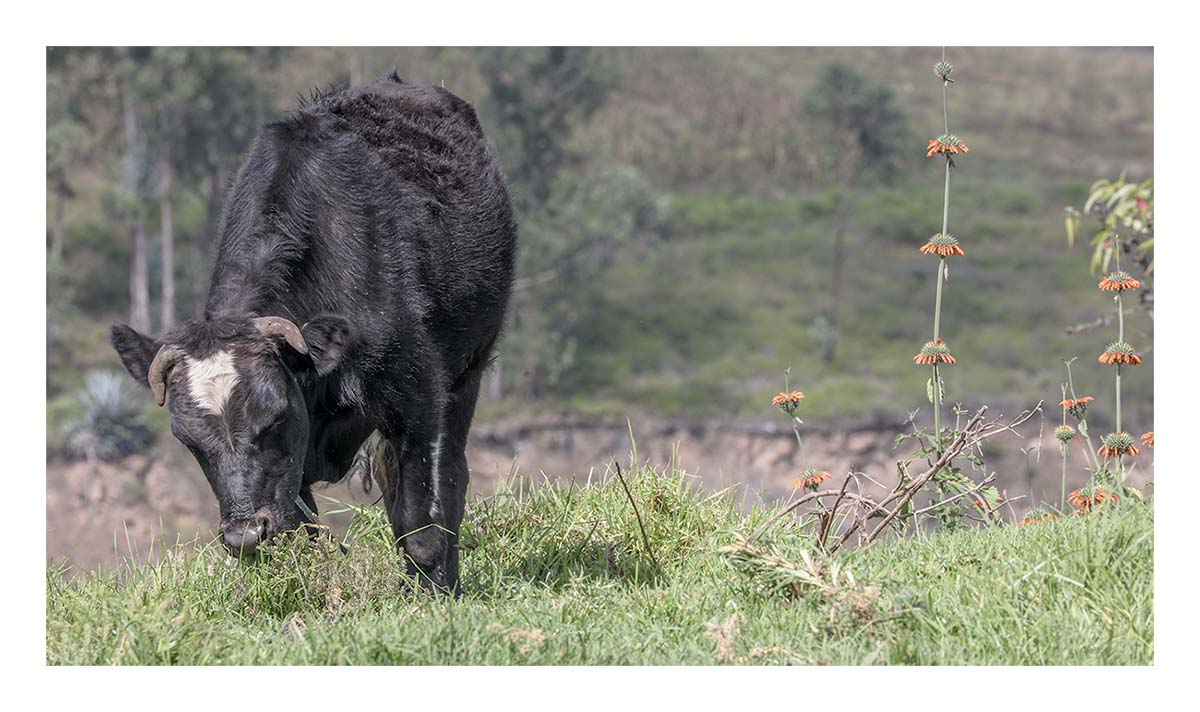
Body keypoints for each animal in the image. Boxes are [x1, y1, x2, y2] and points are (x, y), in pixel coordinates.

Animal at [113, 75, 520, 590]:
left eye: (274, 417)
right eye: (188, 441)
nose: (244, 534)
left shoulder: (418, 394)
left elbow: (421, 523)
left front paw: (434, 596)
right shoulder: (293, 476)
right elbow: (304, 540)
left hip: (468, 369)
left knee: (450, 479)